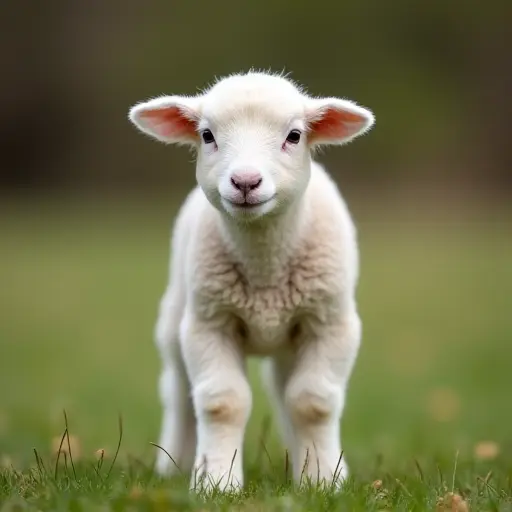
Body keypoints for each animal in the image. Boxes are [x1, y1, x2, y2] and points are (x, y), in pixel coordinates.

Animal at [128, 72, 376, 492]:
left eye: (294, 135)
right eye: (207, 135)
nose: (245, 181)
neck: (265, 271)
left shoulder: (330, 322)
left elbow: (312, 403)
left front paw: (322, 479)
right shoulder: (209, 322)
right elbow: (221, 402)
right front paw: (216, 481)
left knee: (283, 391)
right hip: (176, 318)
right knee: (179, 392)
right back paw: (174, 465)